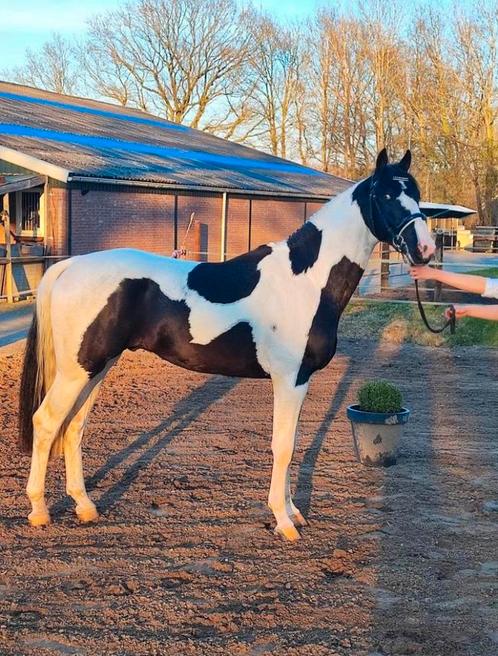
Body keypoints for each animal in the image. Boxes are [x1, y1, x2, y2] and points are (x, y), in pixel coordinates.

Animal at [17, 149, 434, 540]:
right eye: (385, 194)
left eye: (415, 193)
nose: (426, 249)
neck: (305, 281)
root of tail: (70, 266)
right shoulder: (289, 379)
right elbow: (282, 446)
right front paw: (284, 521)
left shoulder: (298, 381)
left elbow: (292, 443)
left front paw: (293, 512)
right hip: (78, 371)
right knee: (47, 421)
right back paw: (39, 510)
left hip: (97, 366)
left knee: (74, 427)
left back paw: (85, 506)